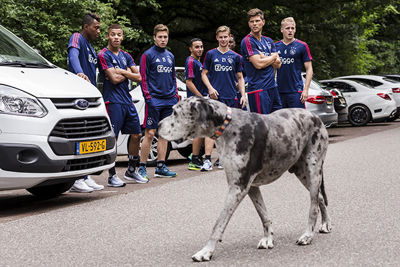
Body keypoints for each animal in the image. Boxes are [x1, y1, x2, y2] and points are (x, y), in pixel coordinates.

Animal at [157, 96, 332, 262]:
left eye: (175, 112)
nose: (157, 125)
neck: (227, 126)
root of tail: (315, 117)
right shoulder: (251, 186)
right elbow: (263, 214)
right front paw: (268, 238)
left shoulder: (238, 187)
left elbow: (218, 223)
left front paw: (206, 251)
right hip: (303, 174)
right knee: (320, 198)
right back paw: (326, 224)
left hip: (313, 171)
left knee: (313, 206)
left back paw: (308, 235)